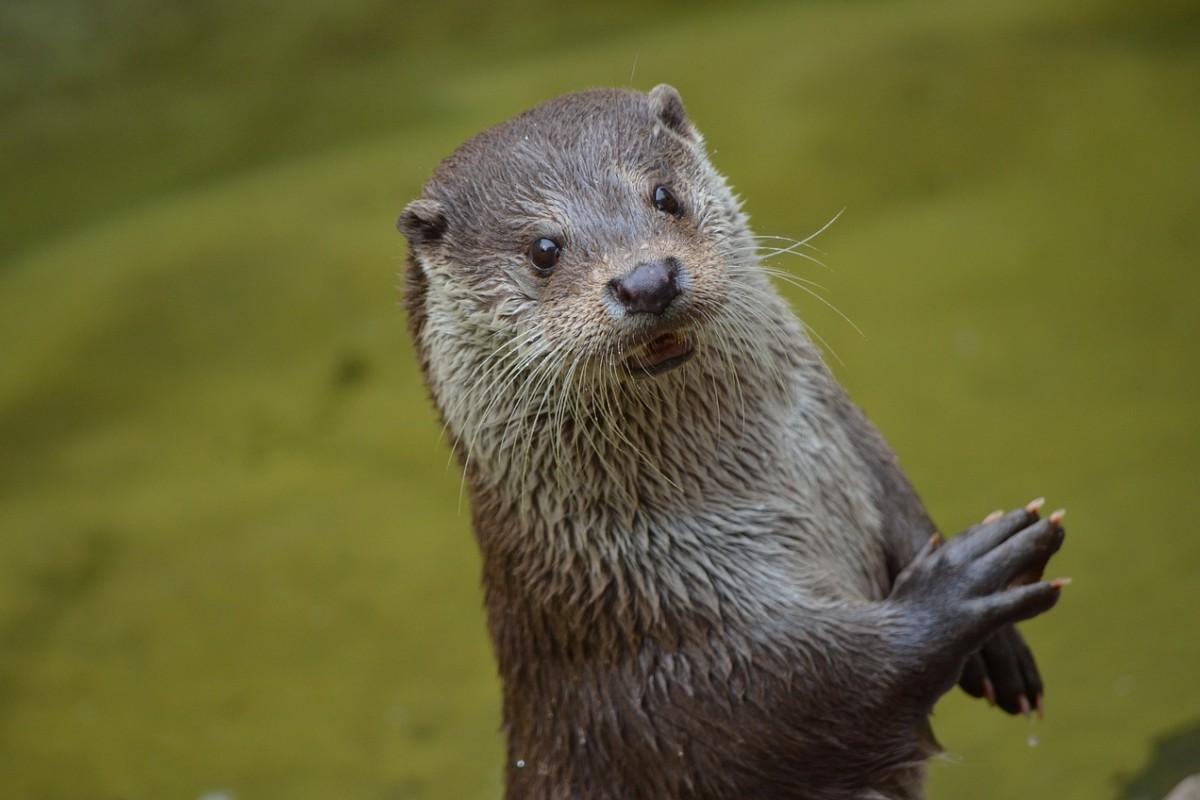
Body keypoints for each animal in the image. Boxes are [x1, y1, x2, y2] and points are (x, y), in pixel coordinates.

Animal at [396, 84, 1070, 796]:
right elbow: (805, 697)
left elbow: (900, 500)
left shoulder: (852, 444)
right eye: (543, 249)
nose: (646, 280)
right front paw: (963, 587)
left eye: (664, 196)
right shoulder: (661, 668)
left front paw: (998, 644)